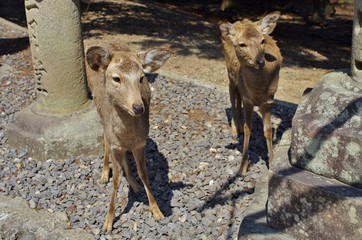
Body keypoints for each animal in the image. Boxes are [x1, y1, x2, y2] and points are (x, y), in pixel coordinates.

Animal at [85, 42, 172, 232]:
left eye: (141, 78)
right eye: (116, 78)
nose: (138, 107)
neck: (127, 136)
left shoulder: (140, 143)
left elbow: (143, 173)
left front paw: (157, 211)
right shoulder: (115, 143)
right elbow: (116, 180)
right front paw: (108, 222)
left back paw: (134, 184)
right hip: (99, 112)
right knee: (104, 138)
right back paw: (104, 173)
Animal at [218, 11, 282, 175]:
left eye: (262, 40)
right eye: (242, 44)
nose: (260, 61)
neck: (258, 91)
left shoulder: (269, 100)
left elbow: (268, 130)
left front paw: (272, 162)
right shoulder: (248, 100)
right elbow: (249, 128)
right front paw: (242, 167)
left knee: (238, 96)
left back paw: (238, 125)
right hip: (230, 74)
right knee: (232, 97)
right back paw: (235, 129)